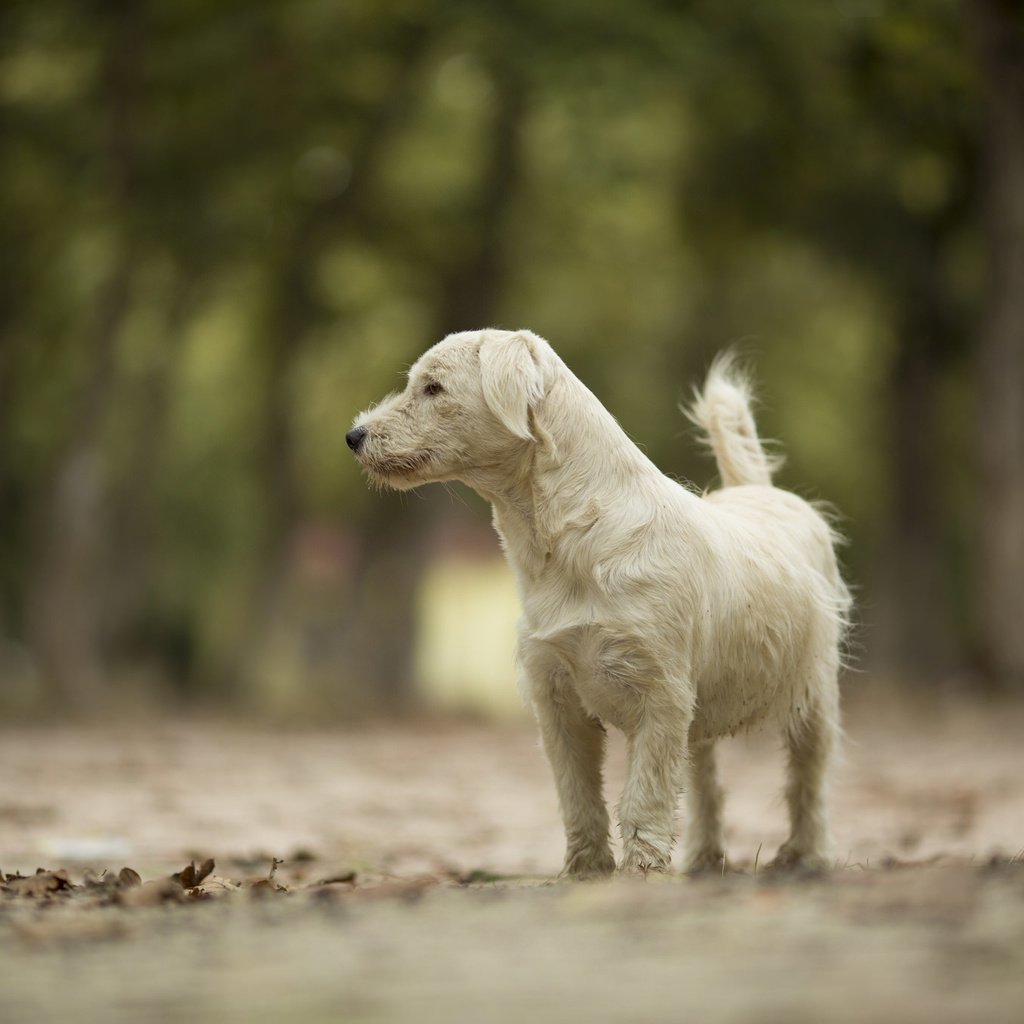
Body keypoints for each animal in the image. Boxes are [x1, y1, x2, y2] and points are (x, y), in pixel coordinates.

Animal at [348, 331, 851, 876]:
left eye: (433, 387)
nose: (354, 436)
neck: (572, 537)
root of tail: (761, 491)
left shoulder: (661, 699)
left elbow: (644, 796)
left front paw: (641, 870)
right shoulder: (558, 700)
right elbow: (578, 796)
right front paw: (586, 869)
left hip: (813, 698)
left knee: (808, 779)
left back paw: (806, 855)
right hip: (706, 718)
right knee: (707, 785)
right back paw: (703, 859)